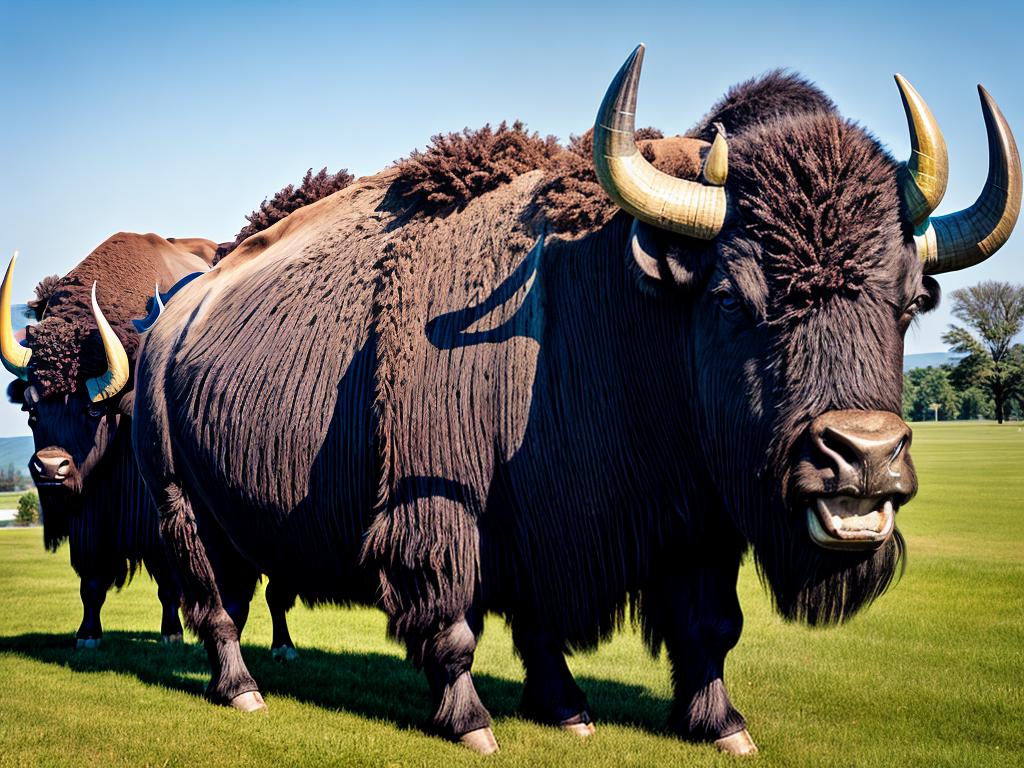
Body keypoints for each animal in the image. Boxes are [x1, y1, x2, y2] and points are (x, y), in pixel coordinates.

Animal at [2, 233, 299, 657]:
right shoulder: (89, 518)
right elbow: (91, 582)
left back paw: (283, 645)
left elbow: (170, 581)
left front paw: (172, 633)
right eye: (31, 409)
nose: (50, 468)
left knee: (277, 590)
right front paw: (87, 635)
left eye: (93, 410)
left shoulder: (160, 512)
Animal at [131, 46, 1019, 754]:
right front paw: (474, 726)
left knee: (232, 596)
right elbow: (451, 622)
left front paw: (701, 725)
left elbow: (695, 626)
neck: (612, 298)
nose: (863, 456)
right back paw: (242, 691)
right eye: (731, 297)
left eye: (908, 300)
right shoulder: (444, 514)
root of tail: (172, 319)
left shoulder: (683, 523)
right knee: (213, 603)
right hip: (181, 507)